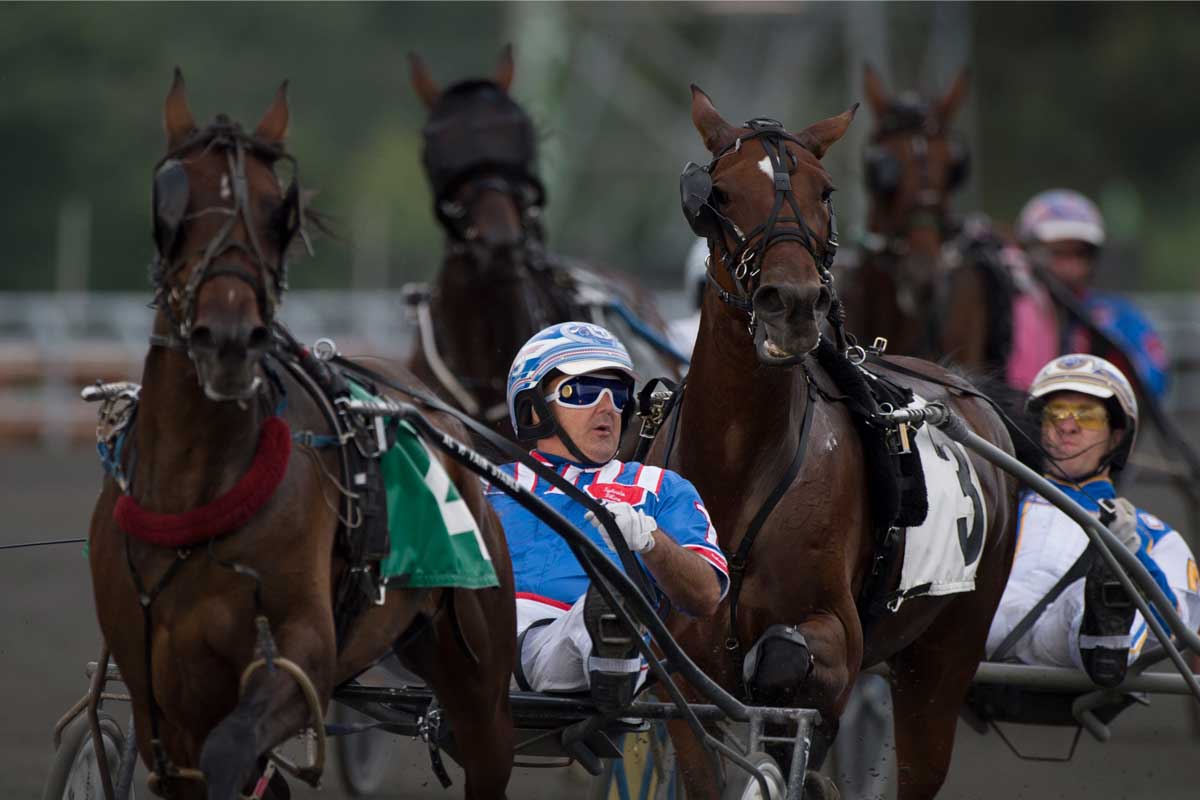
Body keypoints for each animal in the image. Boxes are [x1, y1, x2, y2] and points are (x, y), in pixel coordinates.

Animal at [87, 70, 513, 800]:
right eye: (173, 198)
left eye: (274, 208)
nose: (229, 337)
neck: (195, 494)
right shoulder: (158, 698)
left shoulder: (301, 651)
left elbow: (235, 751)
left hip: (480, 670)